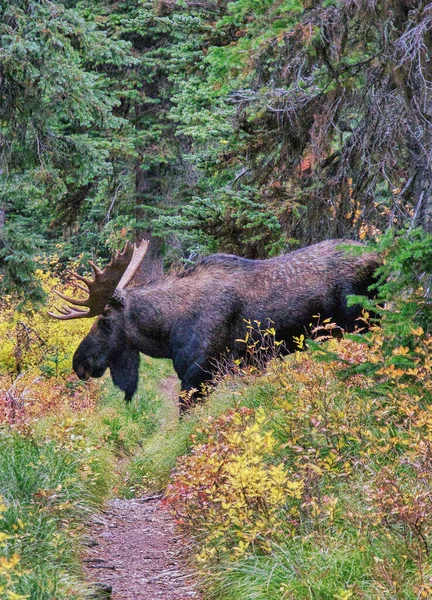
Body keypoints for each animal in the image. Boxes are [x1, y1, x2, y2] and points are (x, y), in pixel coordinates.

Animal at [50, 239, 380, 412]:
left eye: (104, 321)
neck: (167, 331)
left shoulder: (198, 375)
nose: (79, 362)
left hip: (364, 323)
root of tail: (381, 257)